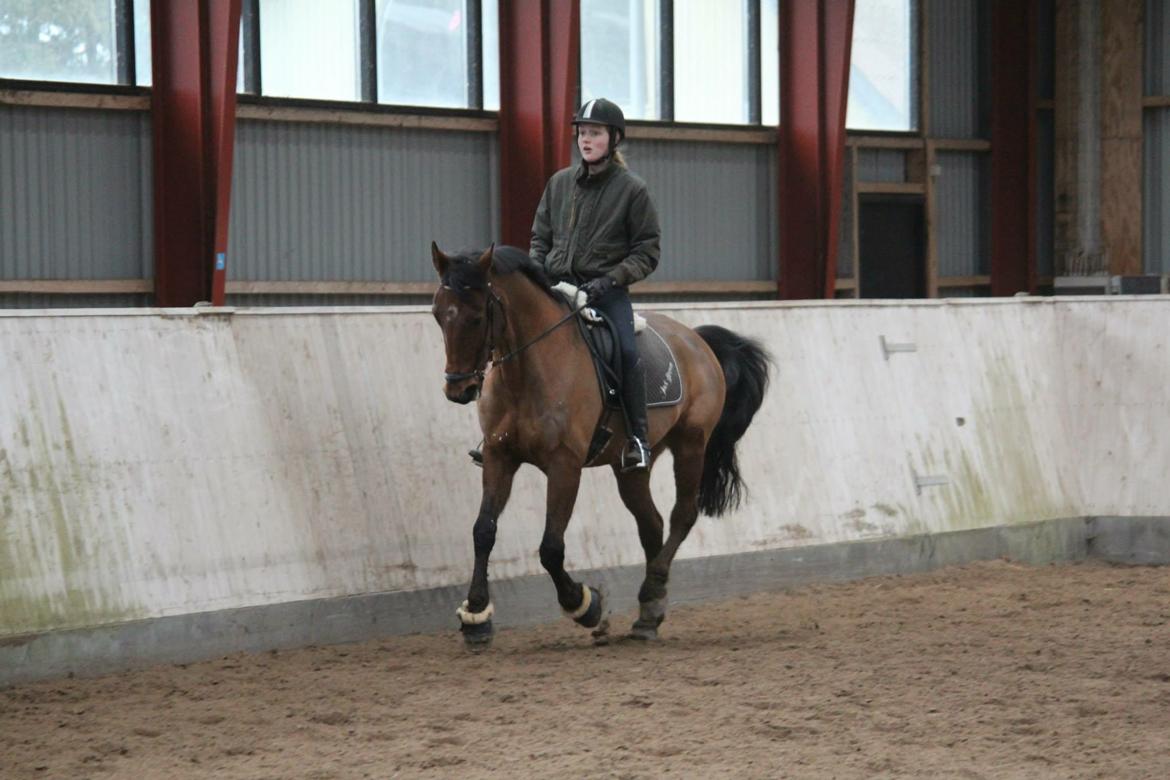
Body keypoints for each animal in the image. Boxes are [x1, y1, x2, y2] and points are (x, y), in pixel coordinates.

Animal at [430, 244, 767, 645]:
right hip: (632, 467)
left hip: (691, 444)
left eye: (477, 317)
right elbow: (483, 531)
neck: (527, 371)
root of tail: (695, 339)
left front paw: (585, 605)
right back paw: (648, 614)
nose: (457, 389)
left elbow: (551, 548)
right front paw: (477, 617)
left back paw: (653, 589)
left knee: (682, 515)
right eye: (438, 315)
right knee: (651, 523)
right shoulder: (499, 458)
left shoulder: (565, 466)